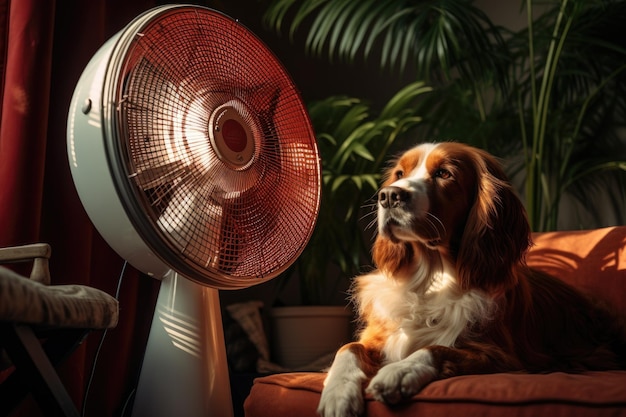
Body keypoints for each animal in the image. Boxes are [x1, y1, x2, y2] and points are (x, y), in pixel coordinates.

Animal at [316, 141, 624, 414]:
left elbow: (436, 348)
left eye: (444, 174)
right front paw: (337, 394)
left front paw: (398, 372)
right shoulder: (377, 336)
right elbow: (348, 348)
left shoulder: (501, 356)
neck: (431, 280)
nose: (389, 195)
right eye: (400, 174)